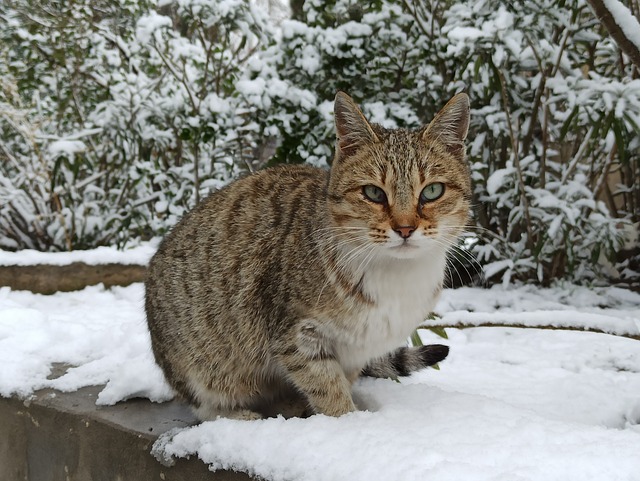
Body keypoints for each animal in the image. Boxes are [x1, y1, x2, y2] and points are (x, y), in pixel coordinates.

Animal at [145, 91, 470, 420]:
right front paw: (348, 422)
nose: (405, 228)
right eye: (373, 193)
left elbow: (339, 382)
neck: (396, 277)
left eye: (432, 191)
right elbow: (328, 389)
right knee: (208, 404)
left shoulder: (356, 351)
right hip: (197, 360)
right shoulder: (296, 334)